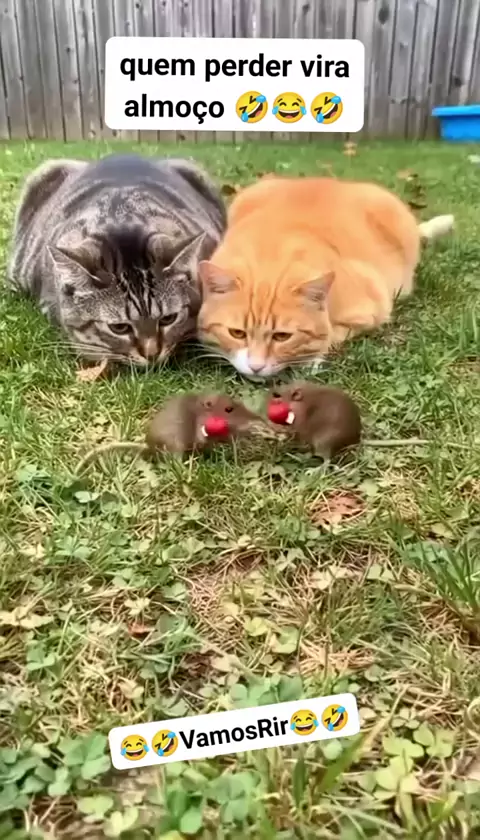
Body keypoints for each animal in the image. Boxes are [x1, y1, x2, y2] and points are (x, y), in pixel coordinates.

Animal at [197, 175, 454, 378]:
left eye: (282, 336)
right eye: (237, 333)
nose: (256, 367)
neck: (271, 253)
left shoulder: (372, 308)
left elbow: (330, 335)